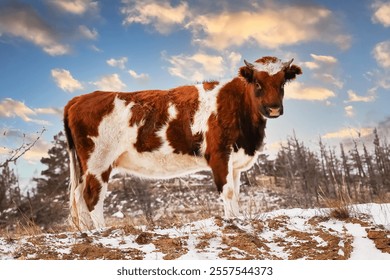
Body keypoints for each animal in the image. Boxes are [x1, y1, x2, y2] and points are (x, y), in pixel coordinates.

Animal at [63, 55, 302, 229]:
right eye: (258, 83)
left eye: (282, 83)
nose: (273, 108)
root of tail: (79, 98)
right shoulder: (219, 155)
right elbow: (227, 191)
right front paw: (233, 223)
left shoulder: (235, 162)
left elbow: (235, 193)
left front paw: (238, 219)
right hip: (98, 162)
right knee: (92, 196)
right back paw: (101, 231)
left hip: (85, 167)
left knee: (78, 197)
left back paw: (87, 232)